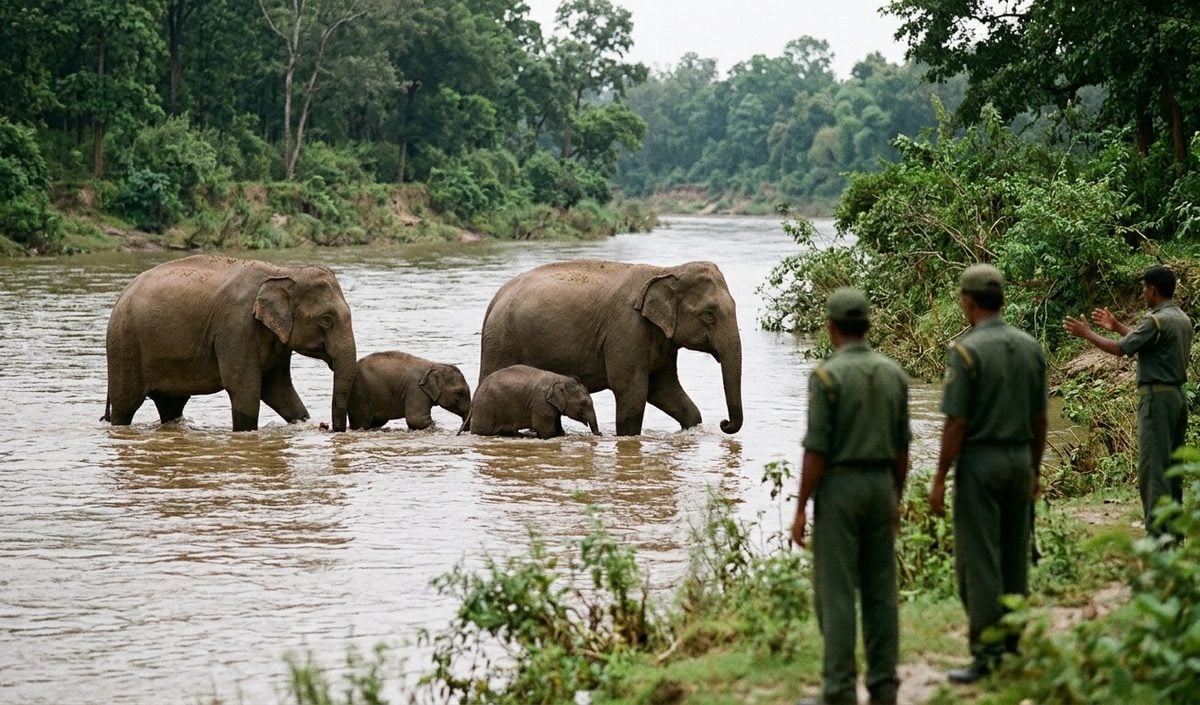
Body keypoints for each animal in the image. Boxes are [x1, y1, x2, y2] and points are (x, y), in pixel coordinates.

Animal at [102, 255, 357, 431]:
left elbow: (278, 389)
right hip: (124, 345)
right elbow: (244, 388)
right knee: (126, 405)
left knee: (171, 405)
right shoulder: (237, 327)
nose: (329, 428)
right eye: (326, 319)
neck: (282, 272)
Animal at [462, 364, 601, 438]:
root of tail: (476, 393)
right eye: (583, 403)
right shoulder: (540, 404)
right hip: (485, 409)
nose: (599, 434)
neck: (559, 378)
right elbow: (547, 432)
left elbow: (558, 427)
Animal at [477, 259, 742, 436]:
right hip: (501, 343)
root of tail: (495, 300)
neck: (666, 271)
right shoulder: (627, 330)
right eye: (709, 315)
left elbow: (664, 389)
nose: (724, 423)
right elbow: (632, 391)